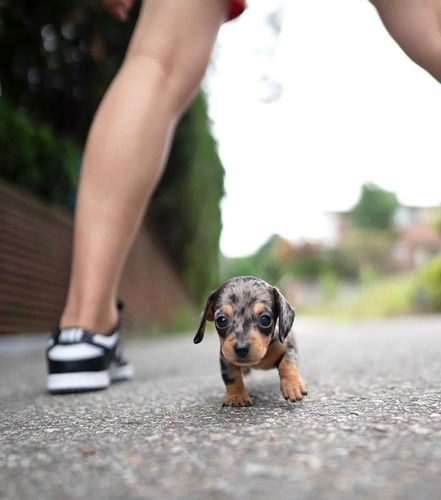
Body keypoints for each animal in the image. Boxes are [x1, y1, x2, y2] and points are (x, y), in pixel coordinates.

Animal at [192, 276, 306, 408]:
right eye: (221, 320)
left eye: (265, 319)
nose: (241, 349)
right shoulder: (225, 357)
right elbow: (232, 376)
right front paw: (237, 396)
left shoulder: (288, 349)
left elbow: (287, 364)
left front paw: (293, 386)